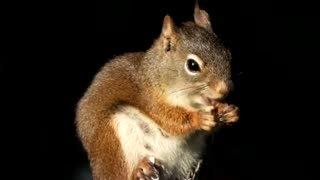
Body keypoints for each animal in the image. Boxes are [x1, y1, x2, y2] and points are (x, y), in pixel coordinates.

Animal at [76, 1, 239, 180]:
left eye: (228, 55)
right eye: (192, 65)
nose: (225, 89)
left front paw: (230, 111)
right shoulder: (148, 97)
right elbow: (169, 119)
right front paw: (199, 118)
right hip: (113, 140)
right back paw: (140, 170)